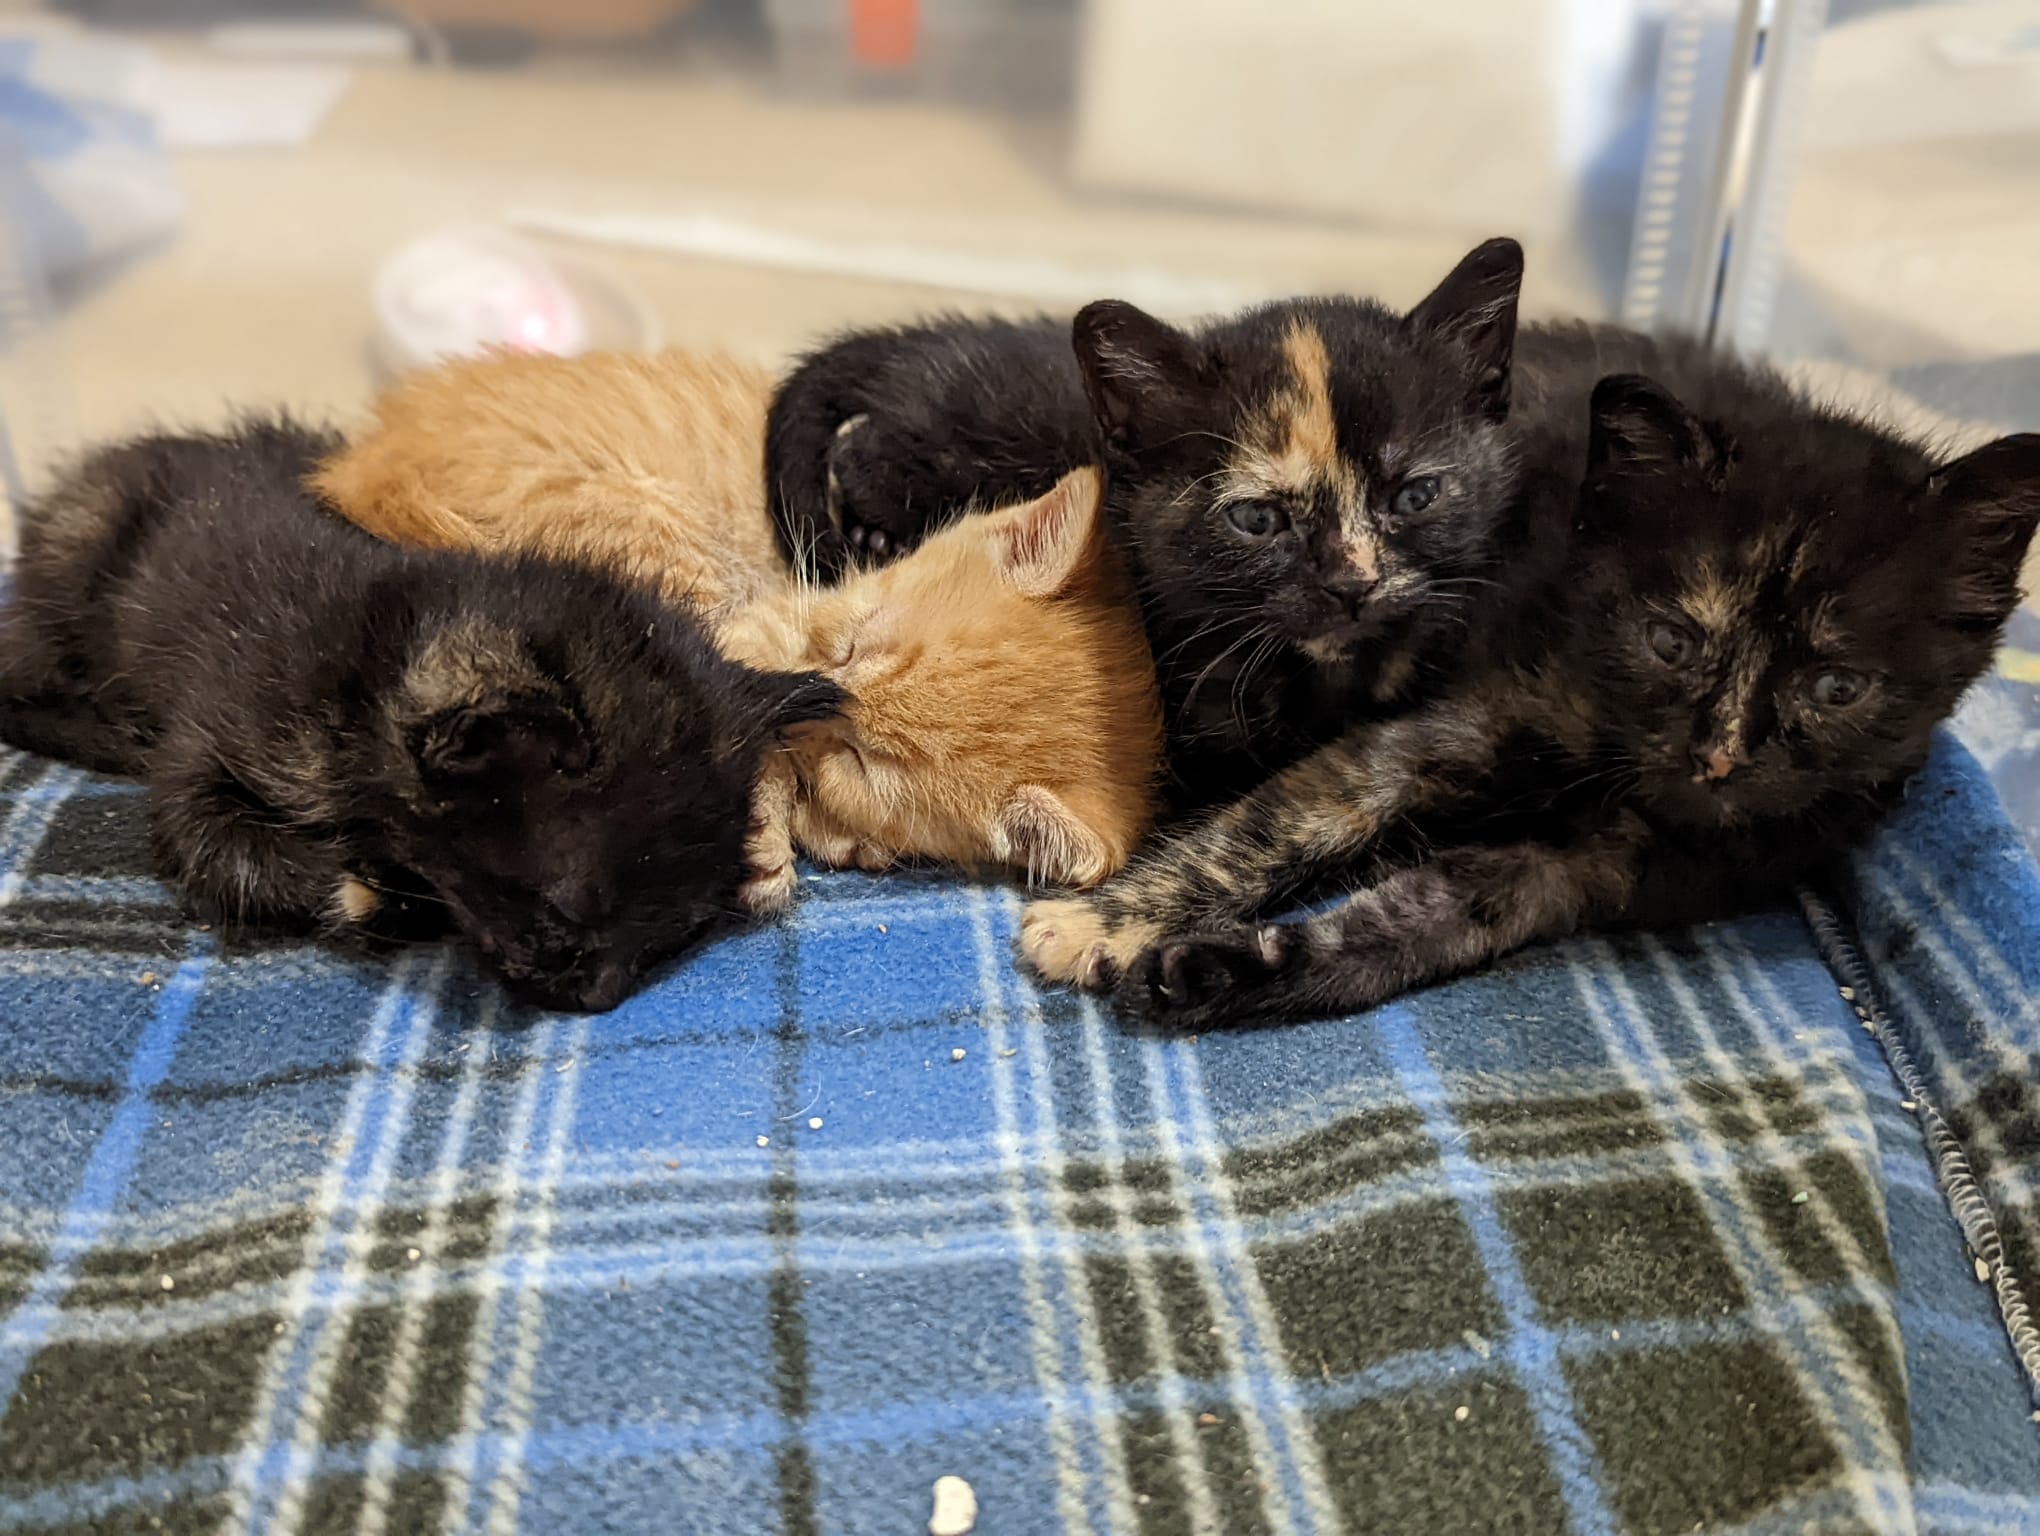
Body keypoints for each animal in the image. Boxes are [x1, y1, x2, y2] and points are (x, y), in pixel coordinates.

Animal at [0, 422, 840, 1019]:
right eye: (561, 914)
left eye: (676, 932)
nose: (598, 999)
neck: (373, 654)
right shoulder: (218, 740)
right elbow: (216, 845)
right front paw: (369, 893)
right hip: (72, 569)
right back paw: (107, 729)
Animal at [316, 344, 1166, 897]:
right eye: (850, 647)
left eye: (865, 764)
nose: (813, 697)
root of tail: (365, 466)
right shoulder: (760, 627)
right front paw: (766, 833)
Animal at [767, 236, 1534, 803]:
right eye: (1256, 519)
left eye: (1415, 496)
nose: (1352, 586)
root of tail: (924, 342)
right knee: (864, 454)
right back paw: (872, 534)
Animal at [1028, 359, 2040, 1024]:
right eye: (1670, 641)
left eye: (1837, 686)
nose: (1720, 758)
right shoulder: (1444, 728)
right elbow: (1279, 824)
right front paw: (1103, 922)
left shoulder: (1580, 873)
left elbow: (1419, 928)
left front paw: (1222, 971)